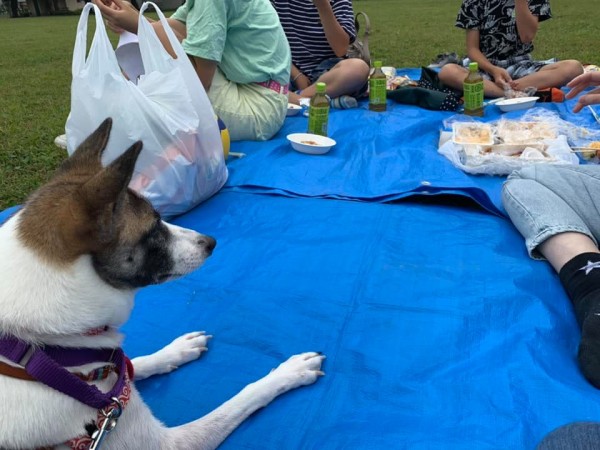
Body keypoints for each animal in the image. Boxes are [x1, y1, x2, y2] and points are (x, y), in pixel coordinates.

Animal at [0, 119, 326, 450]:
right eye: (154, 227)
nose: (211, 242)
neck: (49, 351)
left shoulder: (114, 393)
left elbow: (134, 363)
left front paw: (175, 351)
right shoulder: (164, 442)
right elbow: (239, 400)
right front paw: (287, 373)